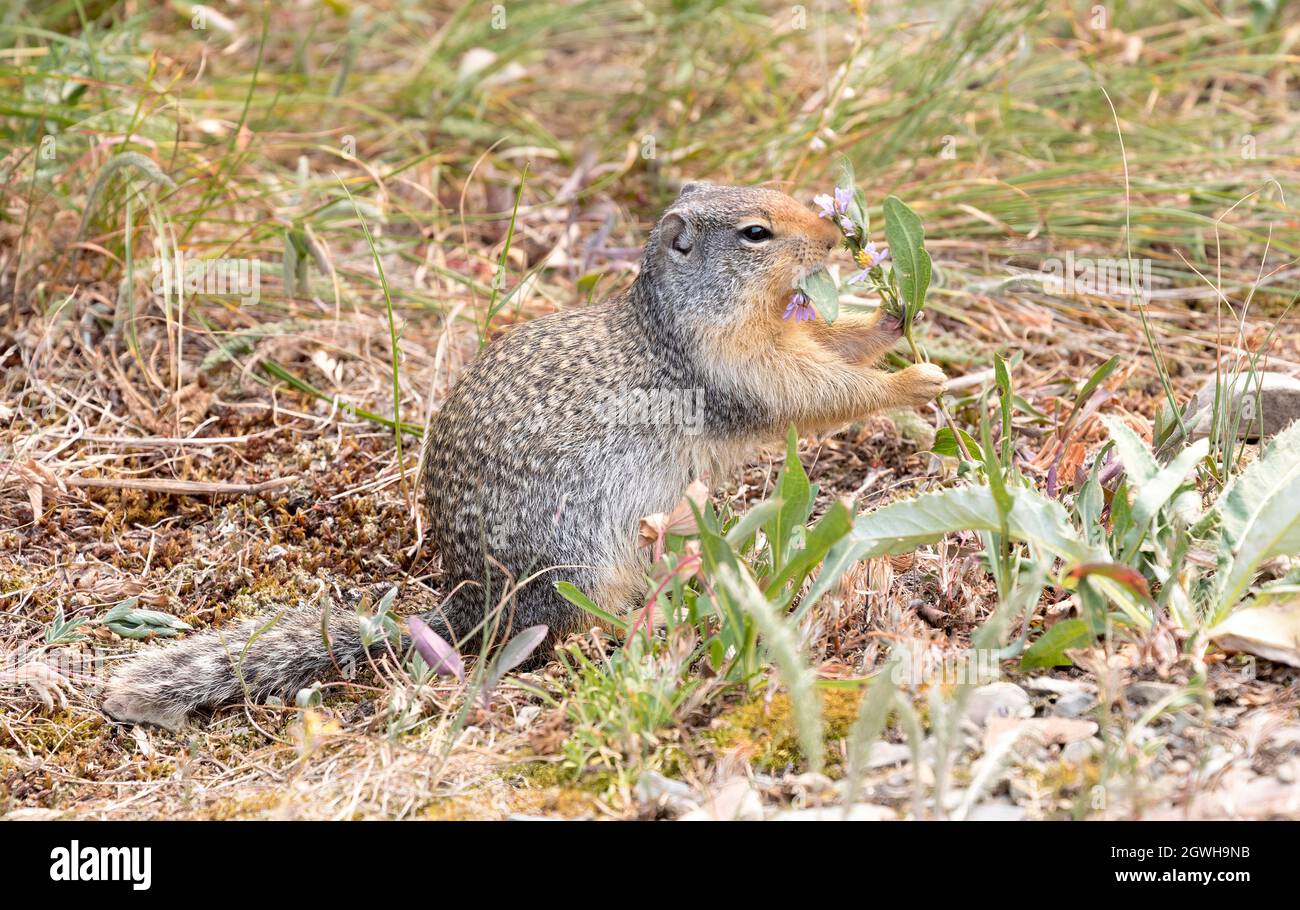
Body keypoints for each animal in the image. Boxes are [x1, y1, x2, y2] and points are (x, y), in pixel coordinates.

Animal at [102, 182, 947, 730]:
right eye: (756, 234)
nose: (838, 238)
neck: (674, 317)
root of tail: (470, 605)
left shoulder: (774, 339)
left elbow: (830, 345)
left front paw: (893, 323)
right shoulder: (737, 369)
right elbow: (814, 391)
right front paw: (917, 379)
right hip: (579, 562)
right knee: (564, 631)